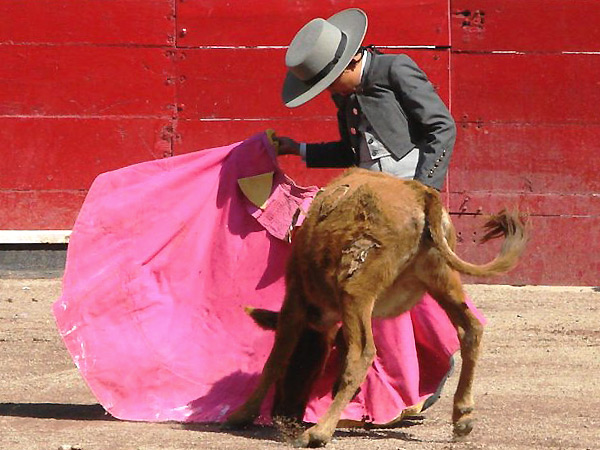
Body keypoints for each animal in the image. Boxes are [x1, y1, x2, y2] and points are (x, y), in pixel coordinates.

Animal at [223, 168, 528, 446]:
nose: (284, 416)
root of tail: (421, 195)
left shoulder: (295, 298)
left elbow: (276, 357)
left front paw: (241, 414)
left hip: (357, 289)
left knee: (363, 353)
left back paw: (318, 432)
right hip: (441, 278)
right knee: (470, 329)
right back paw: (462, 417)